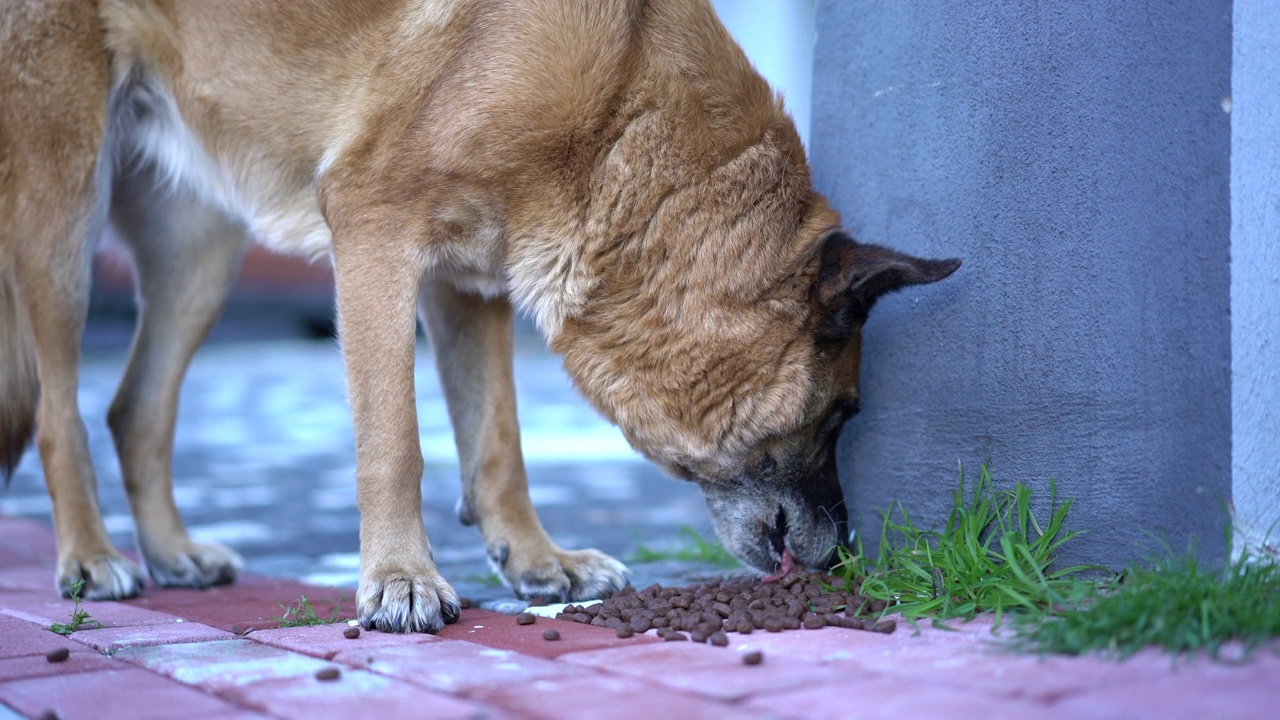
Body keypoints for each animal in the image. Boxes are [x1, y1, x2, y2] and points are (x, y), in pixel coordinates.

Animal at [0, 0, 962, 627]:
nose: (841, 558)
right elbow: (395, 442)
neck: (618, 114)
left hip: (199, 250)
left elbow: (498, 441)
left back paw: (171, 551)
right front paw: (400, 578)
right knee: (58, 409)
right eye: (843, 414)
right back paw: (90, 557)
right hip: (65, 213)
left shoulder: (469, 286)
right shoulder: (375, 236)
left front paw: (537, 562)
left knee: (135, 407)